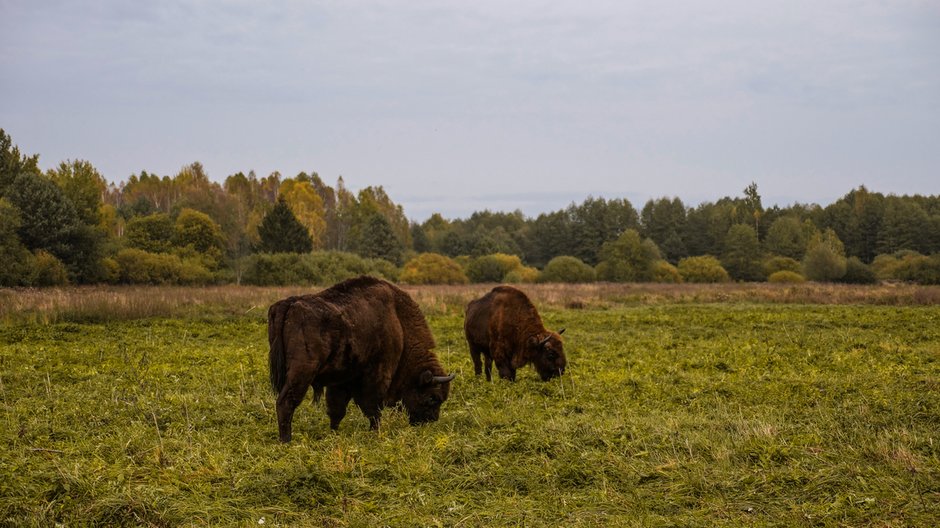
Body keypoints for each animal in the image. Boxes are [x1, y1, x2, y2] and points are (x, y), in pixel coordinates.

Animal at [268, 276, 456, 442]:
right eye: (432, 397)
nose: (430, 420)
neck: (399, 324)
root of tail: (289, 304)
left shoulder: (341, 380)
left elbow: (337, 410)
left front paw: (333, 434)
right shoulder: (377, 375)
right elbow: (373, 408)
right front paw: (375, 432)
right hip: (302, 372)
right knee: (286, 403)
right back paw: (286, 440)